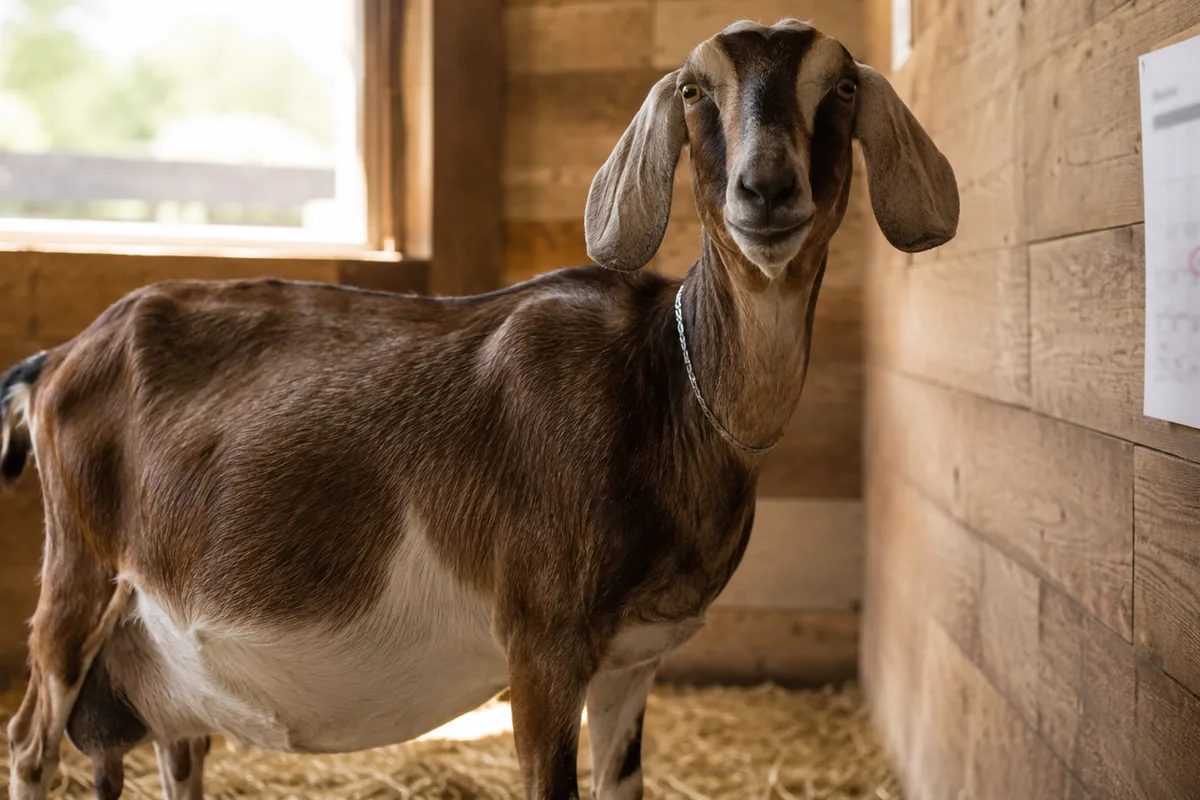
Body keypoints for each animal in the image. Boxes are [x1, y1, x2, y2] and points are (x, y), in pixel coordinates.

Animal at [3, 19, 957, 800]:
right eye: (695, 91)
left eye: (841, 86)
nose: (767, 189)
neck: (666, 386)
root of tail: (58, 361)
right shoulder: (542, 646)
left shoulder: (634, 661)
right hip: (78, 577)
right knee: (28, 742)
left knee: (179, 746)